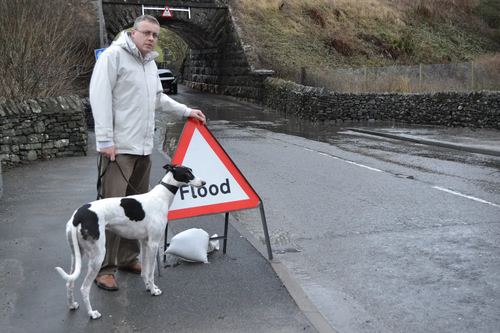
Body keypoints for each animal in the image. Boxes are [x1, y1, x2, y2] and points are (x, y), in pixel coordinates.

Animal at [56, 165, 207, 318]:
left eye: (191, 171)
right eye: (187, 173)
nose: (203, 183)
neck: (161, 196)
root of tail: (77, 216)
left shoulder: (145, 243)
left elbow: (145, 271)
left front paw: (149, 287)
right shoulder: (153, 244)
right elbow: (151, 273)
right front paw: (154, 291)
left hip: (76, 254)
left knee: (69, 283)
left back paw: (72, 305)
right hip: (97, 256)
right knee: (84, 287)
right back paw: (92, 313)